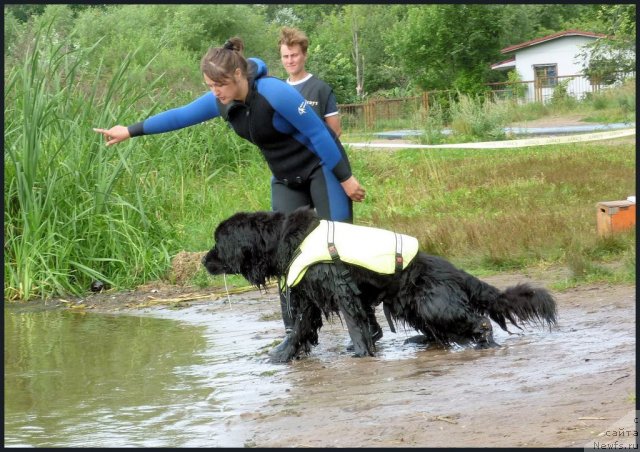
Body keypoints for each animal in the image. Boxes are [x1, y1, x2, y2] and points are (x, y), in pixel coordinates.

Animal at [202, 207, 556, 362]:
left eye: (218, 243)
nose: (204, 260)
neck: (286, 240)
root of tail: (455, 271)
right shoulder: (310, 298)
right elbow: (300, 329)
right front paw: (279, 356)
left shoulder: (342, 291)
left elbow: (357, 328)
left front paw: (361, 355)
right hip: (408, 304)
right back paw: (421, 341)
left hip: (431, 302)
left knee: (480, 322)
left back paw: (482, 343)